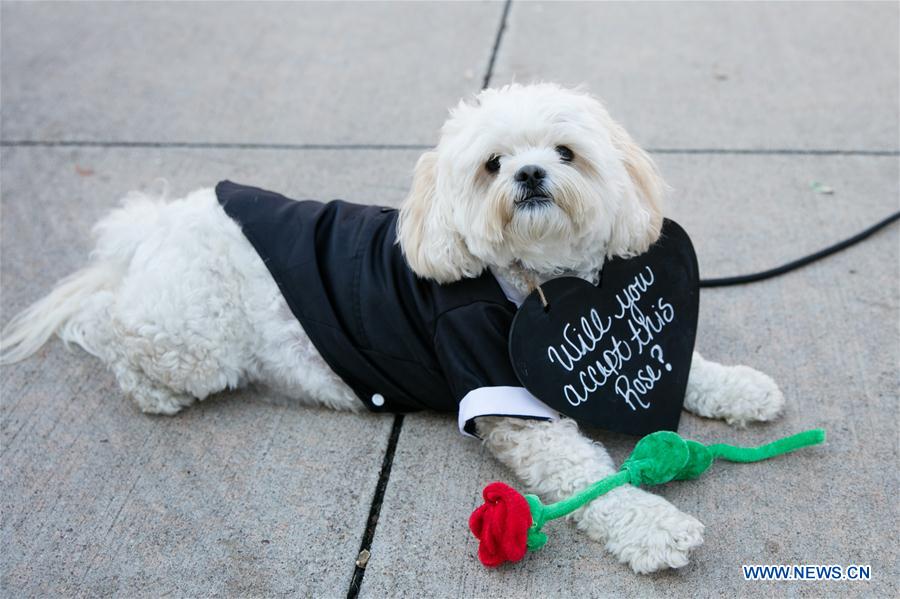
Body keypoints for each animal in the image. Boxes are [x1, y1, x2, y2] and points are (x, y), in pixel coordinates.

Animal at [1, 82, 788, 576]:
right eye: (493, 164)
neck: (535, 279)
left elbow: (691, 366)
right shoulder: (506, 397)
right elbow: (589, 477)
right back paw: (142, 380)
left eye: (566, 152)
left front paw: (740, 387)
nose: (531, 174)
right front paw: (655, 527)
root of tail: (160, 222)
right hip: (192, 339)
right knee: (108, 324)